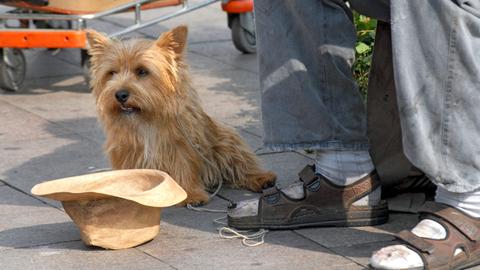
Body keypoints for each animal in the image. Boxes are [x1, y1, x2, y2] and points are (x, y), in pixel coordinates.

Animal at [84, 26, 276, 205]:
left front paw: (191, 195)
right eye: (112, 73)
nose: (120, 94)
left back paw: (261, 178)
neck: (146, 117)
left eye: (142, 71)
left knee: (241, 164)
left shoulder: (180, 145)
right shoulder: (126, 149)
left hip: (225, 140)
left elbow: (184, 167)